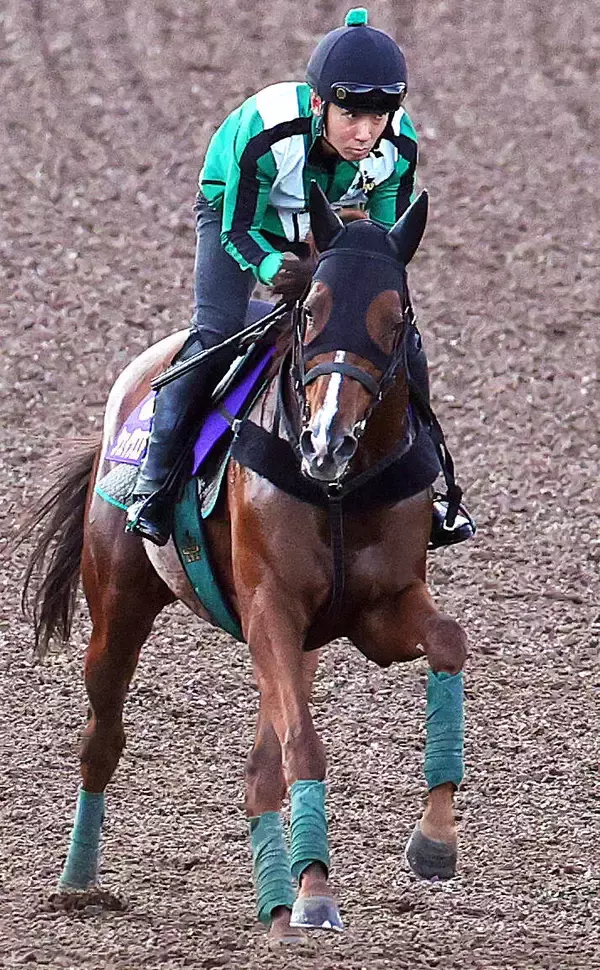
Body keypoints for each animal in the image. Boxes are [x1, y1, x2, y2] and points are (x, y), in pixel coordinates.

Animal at [22, 185, 468, 942]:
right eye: (311, 309)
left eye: (397, 318)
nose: (326, 441)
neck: (339, 489)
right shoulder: (270, 606)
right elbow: (305, 746)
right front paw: (320, 893)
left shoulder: (378, 606)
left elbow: (449, 642)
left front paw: (432, 843)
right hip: (119, 605)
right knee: (102, 737)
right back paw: (79, 884)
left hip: (298, 641)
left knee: (260, 767)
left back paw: (279, 900)